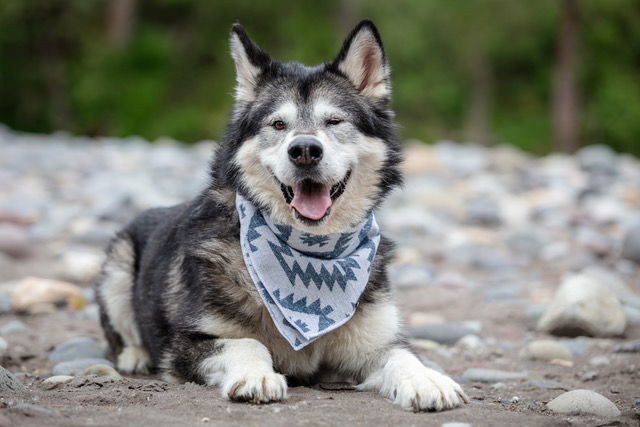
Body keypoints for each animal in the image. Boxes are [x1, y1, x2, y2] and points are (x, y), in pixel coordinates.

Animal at [95, 19, 468, 412]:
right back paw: (135, 356)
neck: (312, 253)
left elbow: (403, 354)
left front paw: (426, 378)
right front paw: (256, 376)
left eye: (334, 121)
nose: (304, 150)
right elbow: (248, 342)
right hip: (119, 266)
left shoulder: (374, 343)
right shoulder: (185, 345)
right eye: (277, 125)